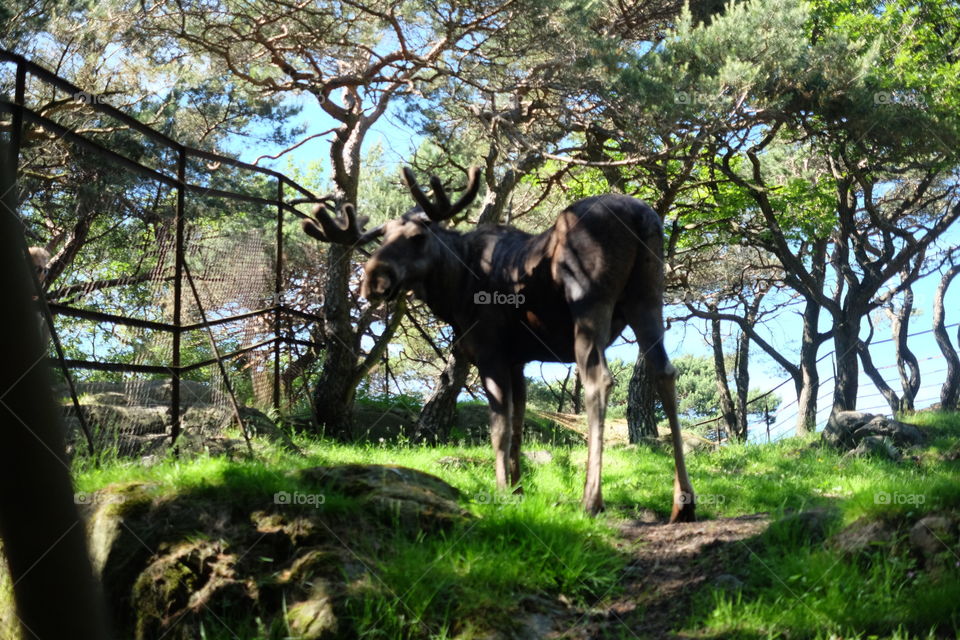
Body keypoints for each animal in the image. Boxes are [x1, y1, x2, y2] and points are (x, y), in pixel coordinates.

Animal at [302, 167, 696, 521]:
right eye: (381, 238)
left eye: (417, 237)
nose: (373, 281)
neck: (453, 290)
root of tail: (642, 217)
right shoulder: (517, 359)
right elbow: (518, 425)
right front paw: (520, 489)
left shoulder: (490, 353)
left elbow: (498, 428)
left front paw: (503, 490)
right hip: (648, 297)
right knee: (665, 372)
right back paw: (683, 503)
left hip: (589, 302)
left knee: (599, 380)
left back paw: (591, 501)